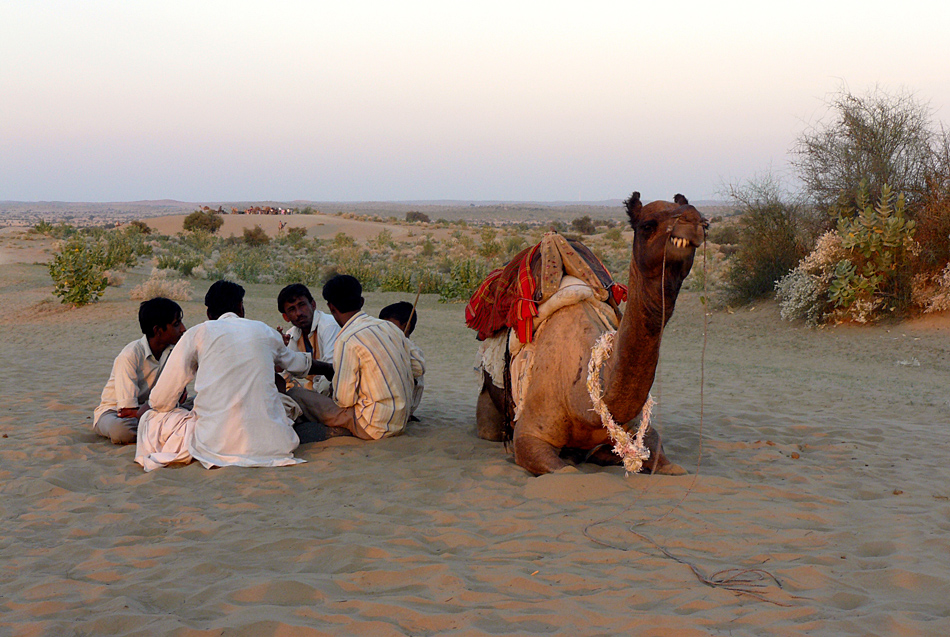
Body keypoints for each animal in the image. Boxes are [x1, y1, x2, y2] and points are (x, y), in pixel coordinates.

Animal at [476, 191, 708, 474]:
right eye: (647, 225)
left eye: (704, 221)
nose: (693, 219)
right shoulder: (529, 434)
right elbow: (565, 469)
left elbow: (671, 465)